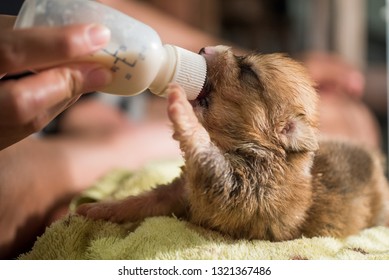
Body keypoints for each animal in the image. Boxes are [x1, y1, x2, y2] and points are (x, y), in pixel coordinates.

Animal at [77, 45, 388, 241]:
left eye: (248, 71)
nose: (204, 49)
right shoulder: (179, 194)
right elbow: (143, 200)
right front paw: (100, 208)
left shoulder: (235, 190)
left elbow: (205, 152)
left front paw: (181, 109)